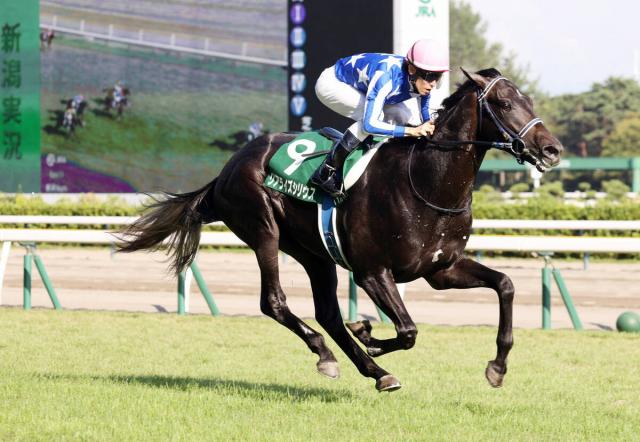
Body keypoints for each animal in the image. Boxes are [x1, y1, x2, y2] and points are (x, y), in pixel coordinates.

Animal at [118, 68, 563, 392]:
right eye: (505, 103)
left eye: (529, 101)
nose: (552, 149)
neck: (426, 182)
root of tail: (227, 168)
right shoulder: (372, 272)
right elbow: (407, 331)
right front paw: (369, 333)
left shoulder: (440, 269)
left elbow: (505, 284)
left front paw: (497, 367)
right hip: (263, 230)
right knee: (274, 302)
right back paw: (335, 356)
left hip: (314, 252)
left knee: (328, 313)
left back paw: (364, 368)